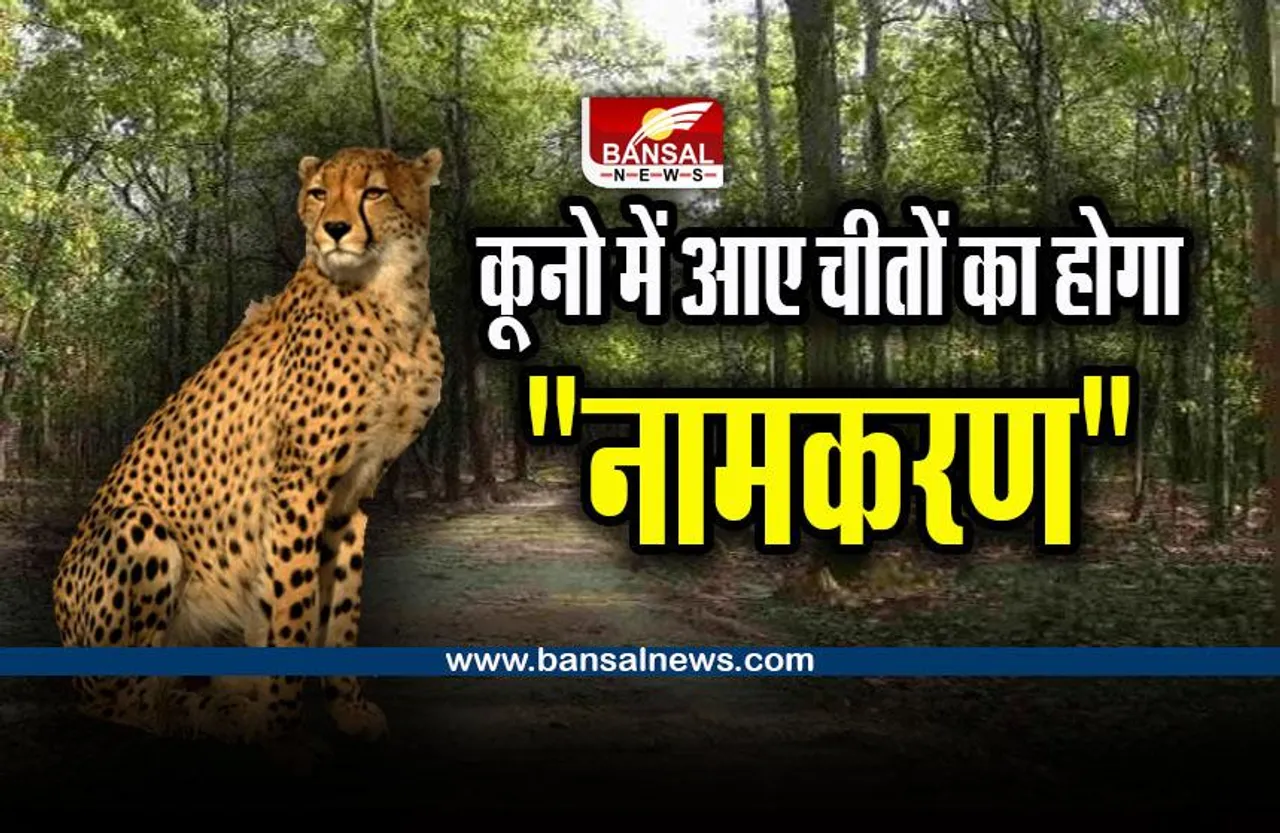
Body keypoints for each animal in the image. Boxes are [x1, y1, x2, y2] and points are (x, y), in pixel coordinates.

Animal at [51, 145, 447, 750]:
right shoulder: (297, 485)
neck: (389, 300)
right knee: (128, 701)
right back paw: (214, 715)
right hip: (138, 525)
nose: (334, 229)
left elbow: (342, 611)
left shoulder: (353, 492)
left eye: (374, 192)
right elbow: (293, 607)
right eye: (318, 193)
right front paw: (284, 729)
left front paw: (348, 710)